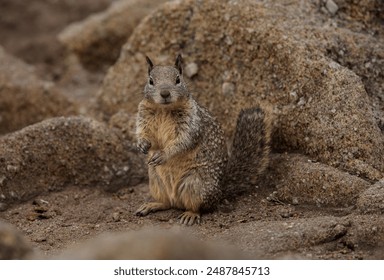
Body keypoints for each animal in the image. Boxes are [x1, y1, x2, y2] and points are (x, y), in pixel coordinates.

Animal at [135, 54, 270, 225]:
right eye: (151, 81)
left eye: (178, 79)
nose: (165, 93)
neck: (164, 110)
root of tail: (219, 191)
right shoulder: (143, 118)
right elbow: (144, 133)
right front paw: (142, 144)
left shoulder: (192, 124)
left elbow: (183, 141)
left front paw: (164, 154)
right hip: (155, 180)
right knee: (167, 203)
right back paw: (152, 205)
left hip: (194, 185)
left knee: (198, 207)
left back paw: (190, 215)